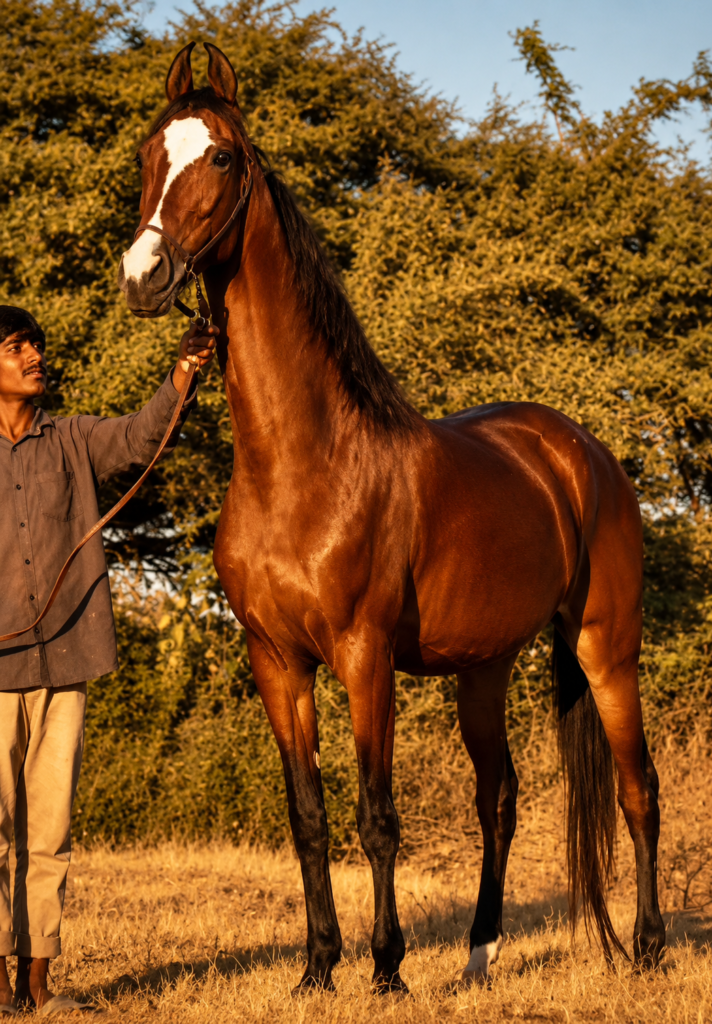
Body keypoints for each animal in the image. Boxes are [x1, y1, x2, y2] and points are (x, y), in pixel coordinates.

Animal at [118, 41, 666, 993]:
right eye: (151, 155)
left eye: (219, 157)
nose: (142, 276)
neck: (304, 464)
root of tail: (580, 452)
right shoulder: (278, 663)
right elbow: (307, 815)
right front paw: (316, 969)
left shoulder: (363, 656)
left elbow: (377, 815)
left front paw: (385, 968)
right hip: (485, 669)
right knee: (501, 797)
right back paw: (480, 955)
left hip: (607, 647)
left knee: (639, 791)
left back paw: (648, 949)